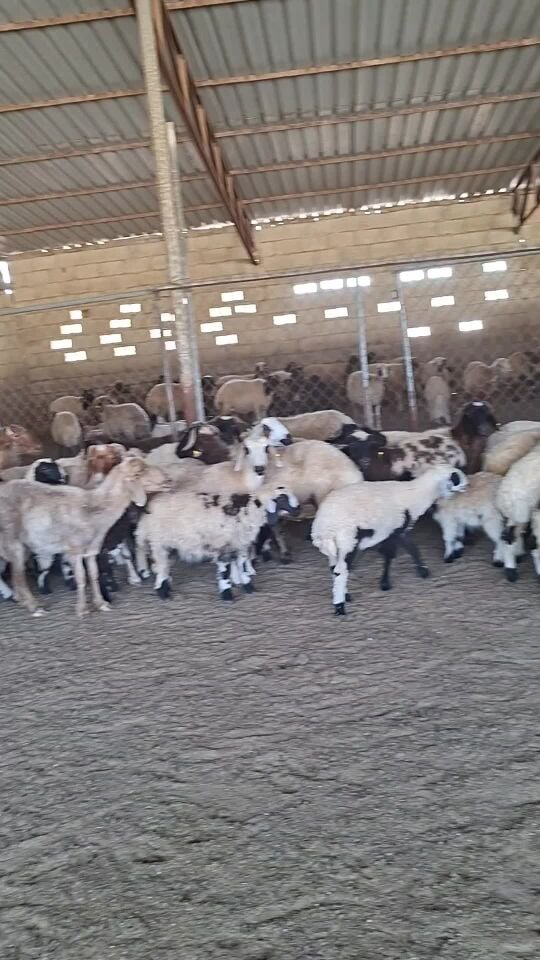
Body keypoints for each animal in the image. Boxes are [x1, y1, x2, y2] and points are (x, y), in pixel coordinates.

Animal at [0, 457, 171, 617]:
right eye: (140, 473)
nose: (168, 480)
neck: (93, 508)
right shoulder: (74, 550)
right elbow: (81, 578)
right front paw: (82, 609)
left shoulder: (92, 550)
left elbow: (94, 575)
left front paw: (101, 603)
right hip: (12, 542)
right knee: (19, 578)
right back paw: (34, 607)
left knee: (16, 576)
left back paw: (21, 599)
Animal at [135, 483, 300, 601]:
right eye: (282, 498)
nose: (299, 509)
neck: (249, 511)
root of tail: (147, 512)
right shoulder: (223, 548)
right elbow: (225, 573)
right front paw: (227, 595)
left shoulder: (240, 546)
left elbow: (243, 567)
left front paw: (249, 588)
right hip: (159, 544)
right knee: (161, 568)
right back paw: (163, 593)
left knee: (163, 567)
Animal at [311, 464, 467, 614]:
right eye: (456, 477)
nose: (467, 484)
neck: (415, 496)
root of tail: (324, 526)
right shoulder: (394, 530)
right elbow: (390, 555)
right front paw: (386, 583)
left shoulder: (397, 531)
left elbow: (412, 549)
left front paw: (423, 571)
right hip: (348, 540)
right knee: (340, 571)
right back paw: (339, 606)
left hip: (336, 546)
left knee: (333, 568)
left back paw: (345, 595)